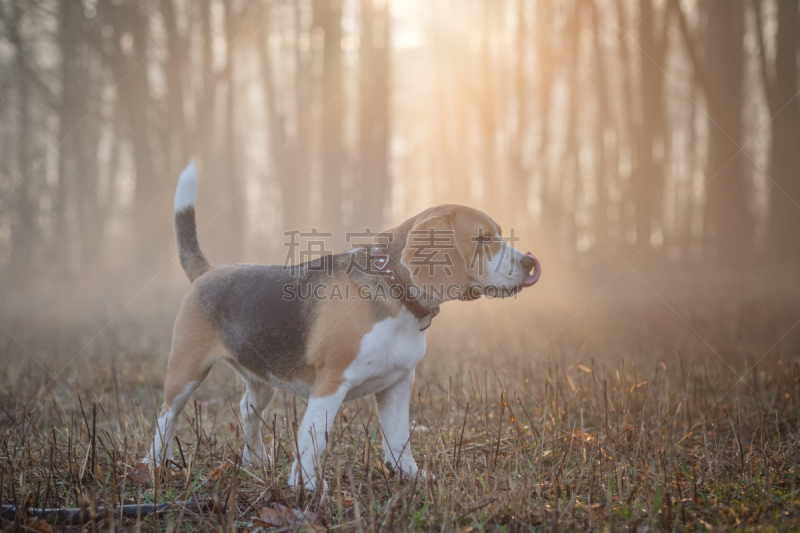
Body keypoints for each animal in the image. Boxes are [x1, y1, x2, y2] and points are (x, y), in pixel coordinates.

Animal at [147, 160, 540, 488]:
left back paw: (256, 460)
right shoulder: (330, 384)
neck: (397, 292)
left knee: (247, 410)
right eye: (483, 239)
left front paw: (411, 476)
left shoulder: (397, 384)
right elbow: (312, 440)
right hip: (186, 371)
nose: (528, 263)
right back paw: (152, 466)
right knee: (166, 417)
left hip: (263, 378)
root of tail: (208, 272)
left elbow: (399, 438)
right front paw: (305, 488)